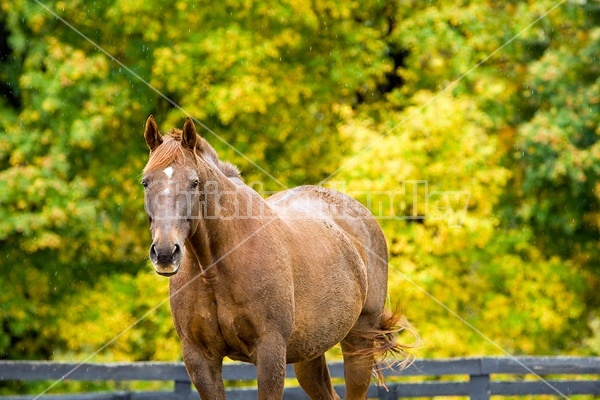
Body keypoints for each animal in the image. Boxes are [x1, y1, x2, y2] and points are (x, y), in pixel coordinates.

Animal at [141, 114, 418, 398]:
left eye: (194, 182)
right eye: (146, 181)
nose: (165, 252)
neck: (216, 269)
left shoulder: (270, 351)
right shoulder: (200, 359)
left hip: (359, 342)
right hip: (309, 353)